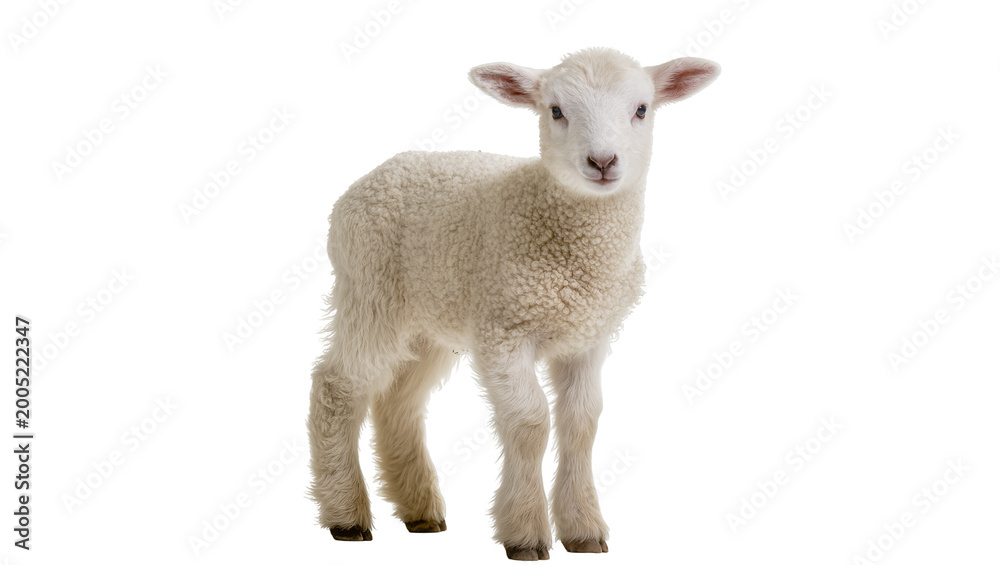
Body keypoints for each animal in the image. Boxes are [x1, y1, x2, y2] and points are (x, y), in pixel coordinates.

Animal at [308, 47, 720, 560]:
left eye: (641, 109)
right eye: (556, 111)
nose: (603, 161)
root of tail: (372, 176)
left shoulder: (588, 338)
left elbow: (582, 422)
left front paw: (583, 529)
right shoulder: (505, 331)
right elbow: (529, 422)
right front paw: (524, 532)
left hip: (429, 318)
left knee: (399, 402)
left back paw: (420, 510)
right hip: (369, 291)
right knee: (337, 388)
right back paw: (345, 514)